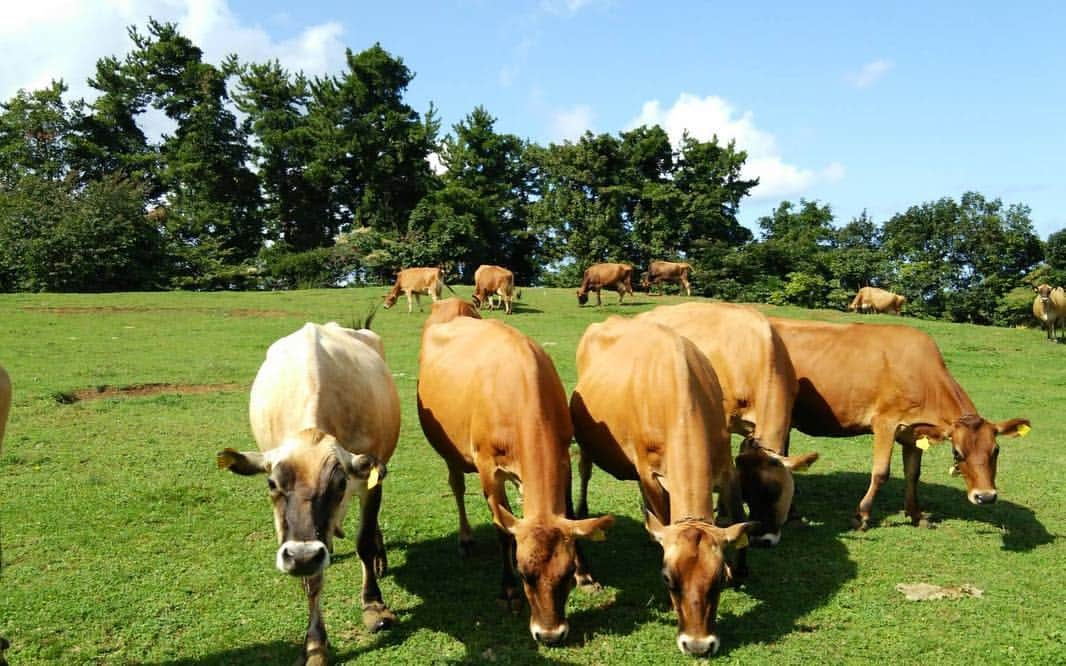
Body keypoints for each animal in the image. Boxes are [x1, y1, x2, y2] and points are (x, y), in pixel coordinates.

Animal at [216, 319, 400, 660]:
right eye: (272, 483)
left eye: (340, 483)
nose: (302, 556)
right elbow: (312, 581)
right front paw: (315, 643)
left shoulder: (370, 482)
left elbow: (365, 542)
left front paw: (373, 606)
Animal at [417, 317, 618, 643]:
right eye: (524, 574)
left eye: (565, 575)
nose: (550, 635)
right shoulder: (488, 467)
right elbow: (502, 529)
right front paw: (508, 590)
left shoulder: (563, 457)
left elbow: (569, 515)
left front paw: (585, 574)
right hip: (448, 450)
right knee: (457, 486)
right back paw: (466, 539)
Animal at [571, 315, 754, 656]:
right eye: (667, 579)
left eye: (717, 581)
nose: (698, 645)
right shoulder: (648, 471)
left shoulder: (725, 464)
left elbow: (738, 514)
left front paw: (740, 570)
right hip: (586, 440)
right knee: (585, 472)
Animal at [771, 317, 1027, 530]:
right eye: (957, 453)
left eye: (996, 450)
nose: (986, 496)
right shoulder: (885, 422)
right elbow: (881, 472)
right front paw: (862, 516)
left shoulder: (914, 433)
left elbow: (913, 474)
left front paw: (916, 515)